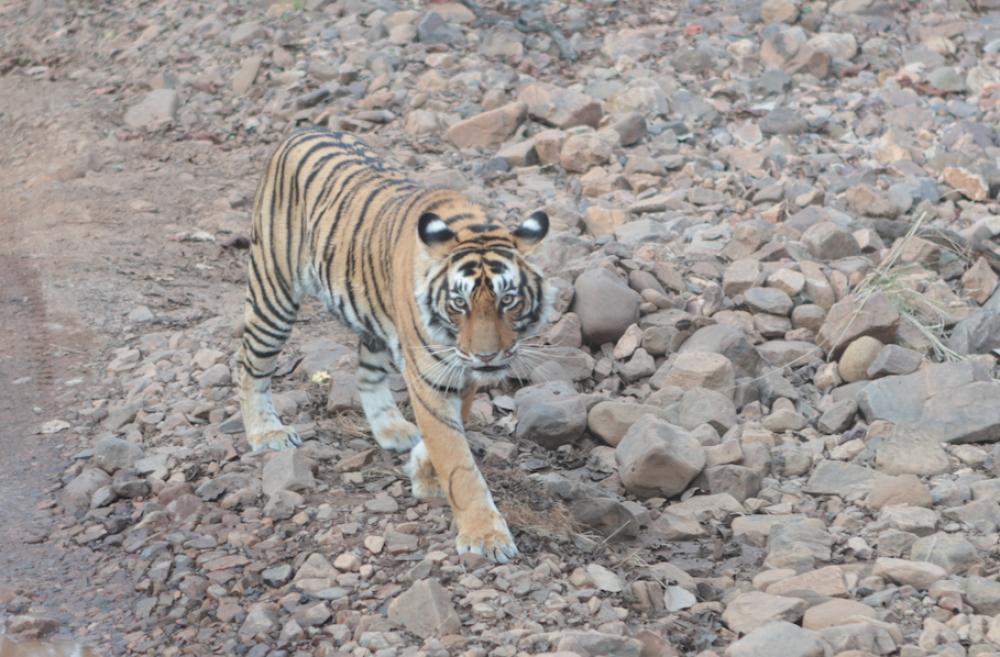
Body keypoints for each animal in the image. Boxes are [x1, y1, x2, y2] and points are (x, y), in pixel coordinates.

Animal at [236, 127, 551, 563]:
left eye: (508, 300)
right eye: (460, 303)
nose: (487, 356)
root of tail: (302, 129)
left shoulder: (460, 371)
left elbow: (451, 430)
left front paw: (422, 469)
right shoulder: (434, 372)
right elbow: (457, 460)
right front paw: (486, 536)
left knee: (366, 372)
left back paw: (390, 428)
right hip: (274, 292)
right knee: (250, 365)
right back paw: (266, 432)